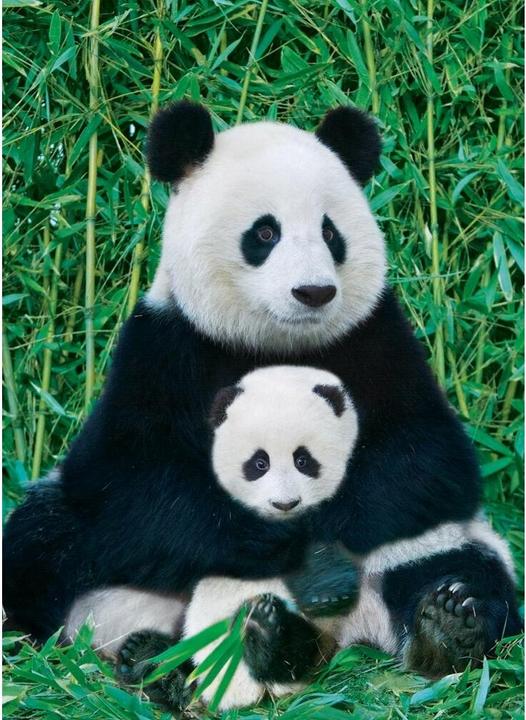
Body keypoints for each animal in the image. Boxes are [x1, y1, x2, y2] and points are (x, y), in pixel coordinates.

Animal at [3, 101, 520, 692]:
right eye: (265, 232)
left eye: (330, 232)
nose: (314, 292)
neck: (275, 341)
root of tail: (343, 634)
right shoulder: (164, 348)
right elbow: (127, 480)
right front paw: (282, 538)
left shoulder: (377, 339)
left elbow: (427, 460)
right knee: (43, 543)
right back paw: (163, 656)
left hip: (434, 543)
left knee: (459, 564)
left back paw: (444, 624)